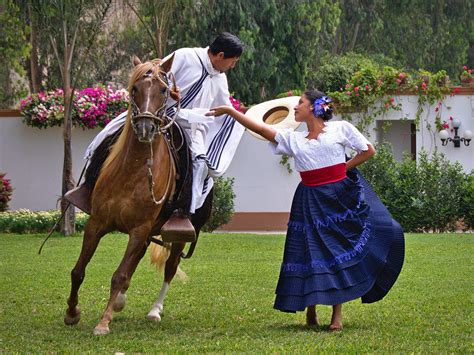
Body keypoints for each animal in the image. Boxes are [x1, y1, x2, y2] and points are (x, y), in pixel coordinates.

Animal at [64, 56, 212, 336]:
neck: (132, 171)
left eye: (163, 90)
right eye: (135, 89)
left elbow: (119, 275)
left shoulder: (140, 228)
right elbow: (78, 270)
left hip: (177, 235)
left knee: (169, 268)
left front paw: (103, 322)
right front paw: (71, 312)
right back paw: (120, 301)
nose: (145, 127)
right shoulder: (97, 223)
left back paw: (155, 310)